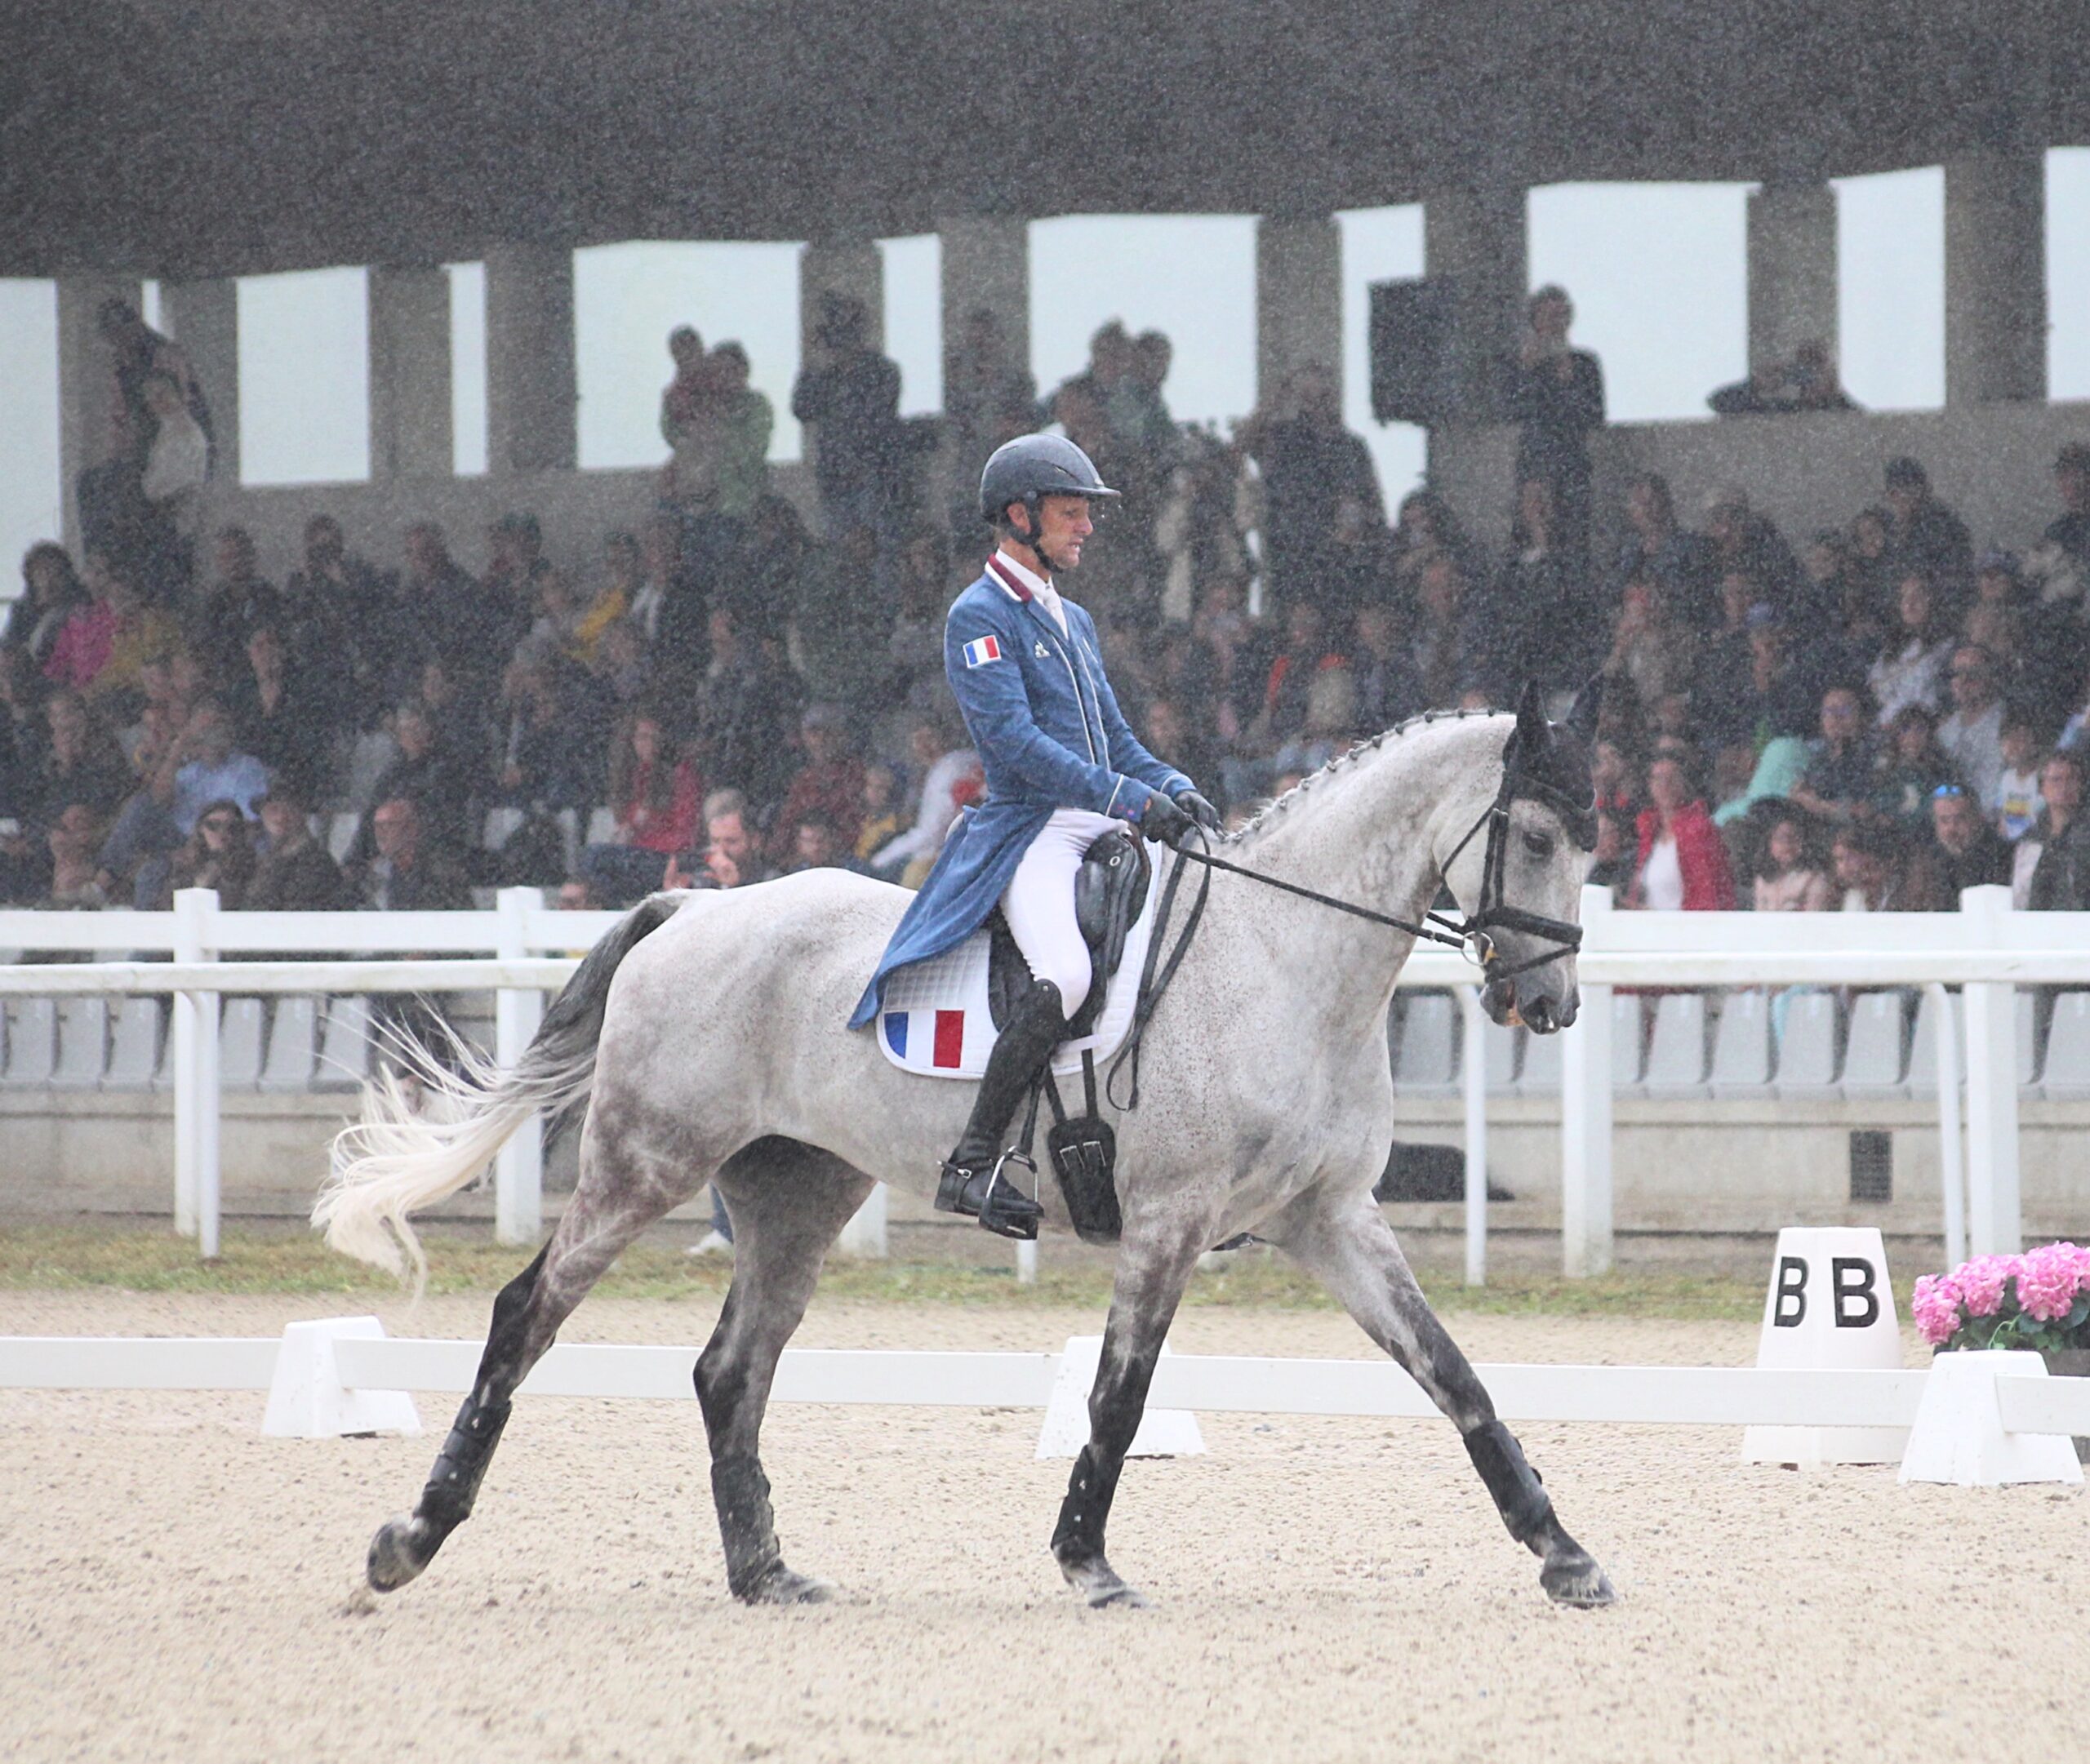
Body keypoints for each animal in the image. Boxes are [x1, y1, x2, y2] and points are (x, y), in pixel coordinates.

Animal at [318, 685, 1613, 1613]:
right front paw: (1087, 1561)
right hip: (646, 1161)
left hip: (797, 1193)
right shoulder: (1171, 1220)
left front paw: (1564, 1553)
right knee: (526, 1313)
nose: (1550, 1004)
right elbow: (1120, 1394)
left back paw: (766, 1574)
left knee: (731, 1370)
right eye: (1537, 832)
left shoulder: (1329, 1215)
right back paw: (406, 1541)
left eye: (1592, 845)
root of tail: (695, 904)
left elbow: (1454, 1376)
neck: (1280, 958)